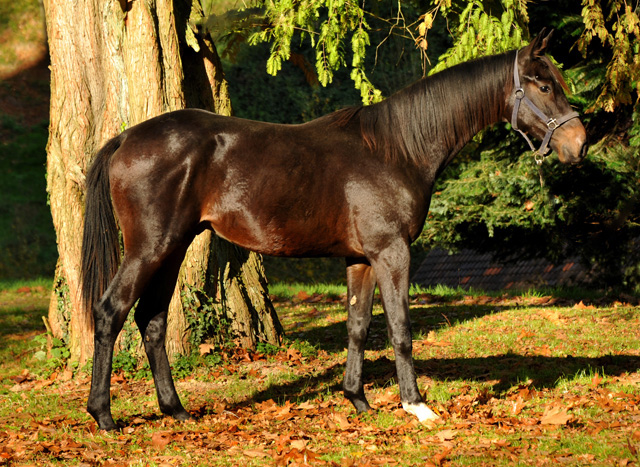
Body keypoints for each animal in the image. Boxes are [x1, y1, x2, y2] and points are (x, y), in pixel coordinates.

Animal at [82, 30, 588, 432]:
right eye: (544, 85)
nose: (579, 144)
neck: (395, 148)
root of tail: (126, 138)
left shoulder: (360, 258)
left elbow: (358, 327)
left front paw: (358, 400)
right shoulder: (391, 253)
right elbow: (400, 328)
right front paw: (416, 406)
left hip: (173, 248)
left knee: (151, 320)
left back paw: (176, 410)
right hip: (150, 247)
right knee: (109, 313)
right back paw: (104, 415)